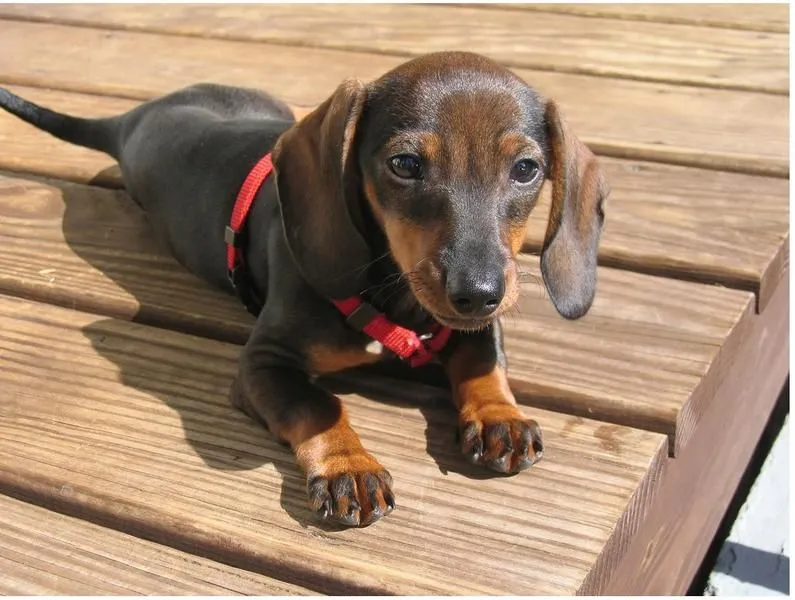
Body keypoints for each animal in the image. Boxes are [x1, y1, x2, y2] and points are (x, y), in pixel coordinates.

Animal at [0, 52, 608, 528]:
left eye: (526, 169)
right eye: (405, 164)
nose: (477, 293)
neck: (395, 298)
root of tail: (134, 117)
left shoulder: (473, 323)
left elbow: (482, 358)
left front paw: (498, 415)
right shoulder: (264, 362)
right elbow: (317, 404)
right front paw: (349, 467)